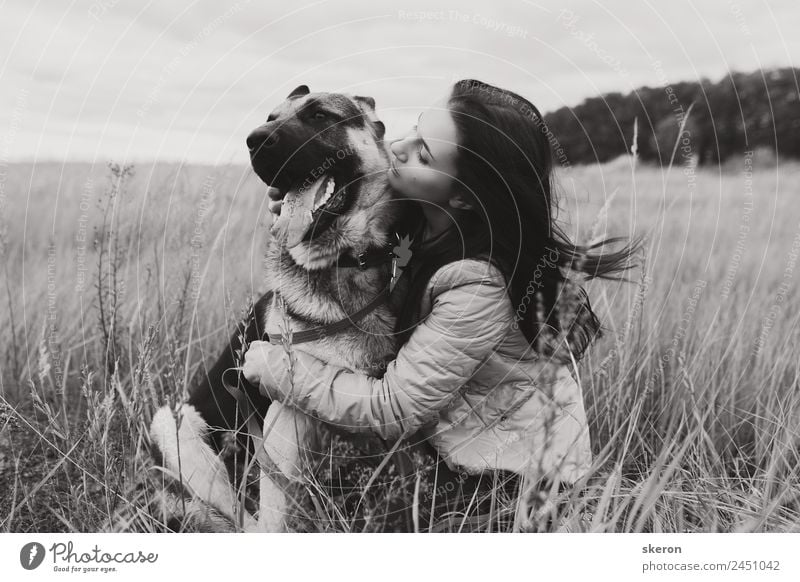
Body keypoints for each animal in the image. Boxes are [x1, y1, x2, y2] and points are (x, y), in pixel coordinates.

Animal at [148, 86, 418, 532]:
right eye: (270, 117)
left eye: (321, 115)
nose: (255, 140)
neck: (344, 263)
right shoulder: (285, 417)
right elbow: (276, 507)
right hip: (179, 432)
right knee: (237, 512)